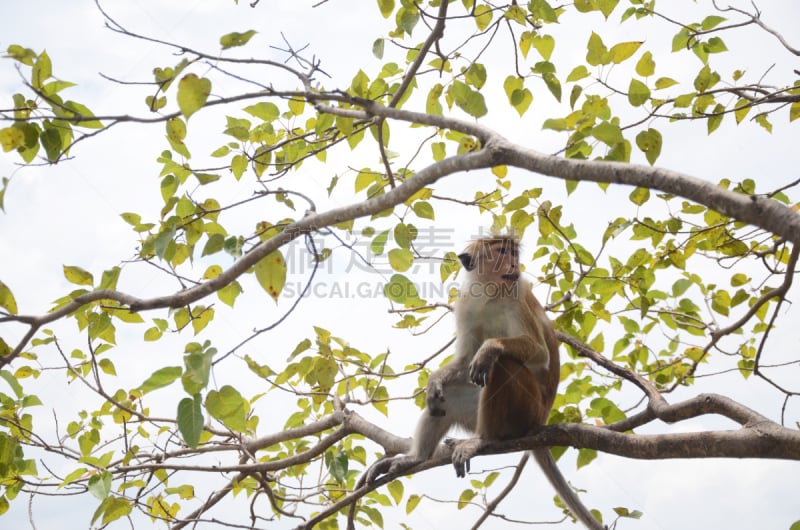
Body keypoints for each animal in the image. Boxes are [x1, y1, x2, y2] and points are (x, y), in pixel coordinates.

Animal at [366, 236, 604, 528]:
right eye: (502, 252)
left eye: (513, 252)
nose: (514, 263)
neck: (491, 292)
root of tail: (540, 420)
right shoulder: (466, 303)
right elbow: (465, 359)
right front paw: (435, 381)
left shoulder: (516, 294)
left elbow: (538, 353)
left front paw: (489, 348)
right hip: (475, 413)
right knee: (448, 398)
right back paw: (416, 457)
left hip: (526, 411)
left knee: (504, 364)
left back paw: (483, 440)